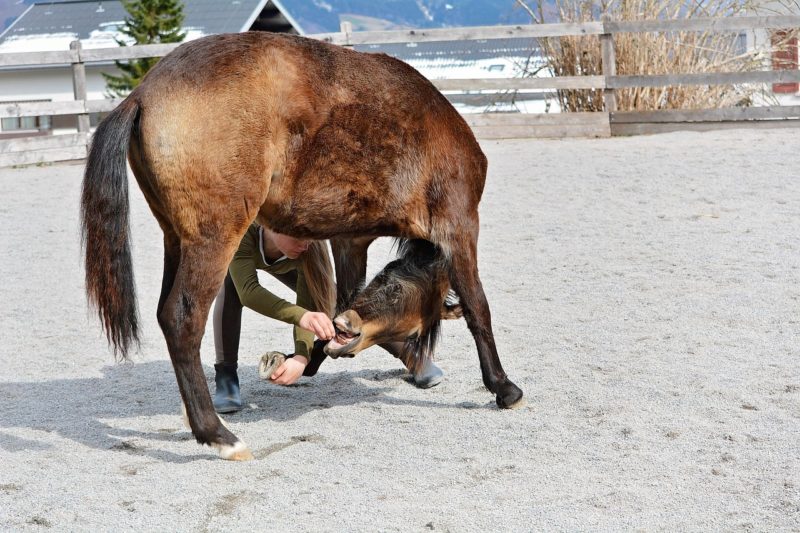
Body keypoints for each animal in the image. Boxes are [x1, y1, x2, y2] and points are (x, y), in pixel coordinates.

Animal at [81, 31, 524, 461]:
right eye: (398, 295)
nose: (350, 329)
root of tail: (144, 93)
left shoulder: (350, 240)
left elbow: (346, 296)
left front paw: (325, 352)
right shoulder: (459, 227)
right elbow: (477, 308)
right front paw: (503, 387)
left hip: (176, 239)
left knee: (165, 312)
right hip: (215, 239)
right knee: (181, 318)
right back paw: (217, 435)